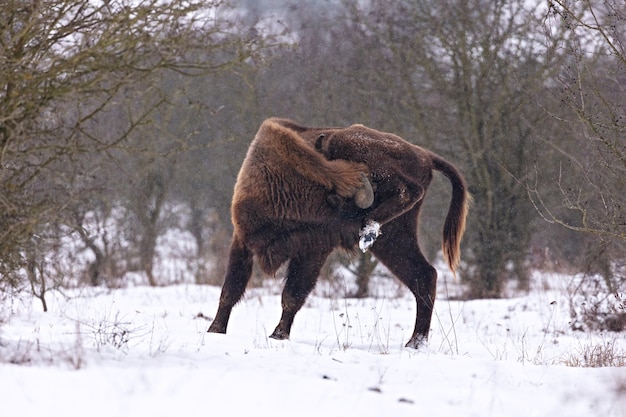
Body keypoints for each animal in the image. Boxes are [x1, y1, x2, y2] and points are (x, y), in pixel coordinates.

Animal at [210, 118, 468, 348]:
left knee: (409, 191)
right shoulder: (243, 240)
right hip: (394, 239)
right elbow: (230, 290)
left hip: (354, 147)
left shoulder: (313, 251)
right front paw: (215, 330)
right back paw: (415, 343)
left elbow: (292, 295)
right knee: (423, 275)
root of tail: (424, 155)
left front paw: (277, 336)